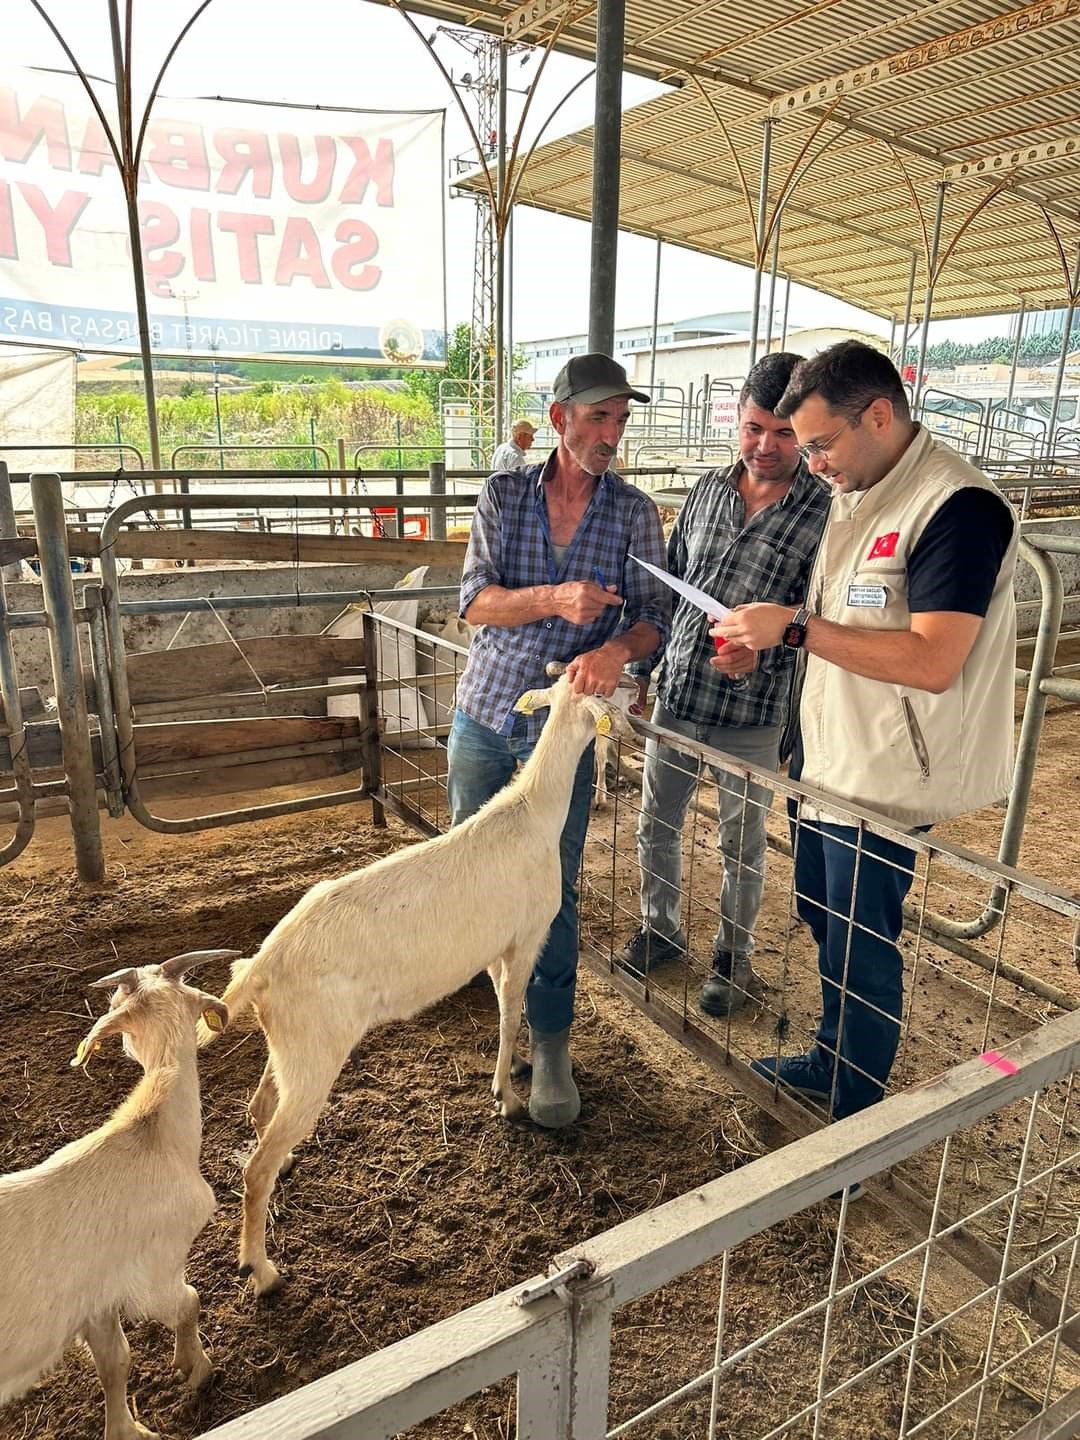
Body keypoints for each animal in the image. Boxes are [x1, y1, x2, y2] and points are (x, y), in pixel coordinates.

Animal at [0, 950, 237, 1434]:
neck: (153, 1136)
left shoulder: (96, 1300)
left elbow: (115, 1363)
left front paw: (128, 1432)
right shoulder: (156, 1268)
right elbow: (189, 1301)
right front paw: (197, 1370)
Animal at [200, 662, 639, 1296]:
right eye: (610, 683)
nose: (640, 684)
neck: (532, 812)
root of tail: (258, 969)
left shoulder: (492, 947)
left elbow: (505, 1009)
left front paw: (516, 1070)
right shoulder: (526, 935)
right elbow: (512, 1010)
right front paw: (507, 1097)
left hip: (291, 1043)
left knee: (260, 1108)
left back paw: (282, 1164)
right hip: (315, 1050)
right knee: (256, 1167)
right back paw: (260, 1268)